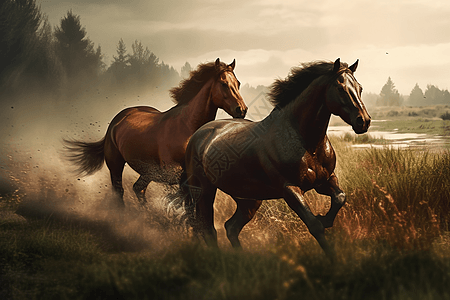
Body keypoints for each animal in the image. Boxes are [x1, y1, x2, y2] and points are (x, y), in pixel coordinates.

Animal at [63, 59, 246, 207]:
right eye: (223, 83)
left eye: (238, 83)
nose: (242, 110)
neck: (186, 126)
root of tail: (117, 119)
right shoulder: (176, 175)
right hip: (115, 165)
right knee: (119, 191)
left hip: (147, 171)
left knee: (138, 189)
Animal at [178, 59, 370, 260]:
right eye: (340, 88)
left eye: (360, 88)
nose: (363, 121)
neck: (306, 142)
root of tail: (198, 134)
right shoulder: (290, 189)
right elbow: (314, 226)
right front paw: (334, 257)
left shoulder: (325, 181)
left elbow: (340, 197)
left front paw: (325, 219)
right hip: (203, 190)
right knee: (207, 228)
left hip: (249, 199)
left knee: (231, 227)